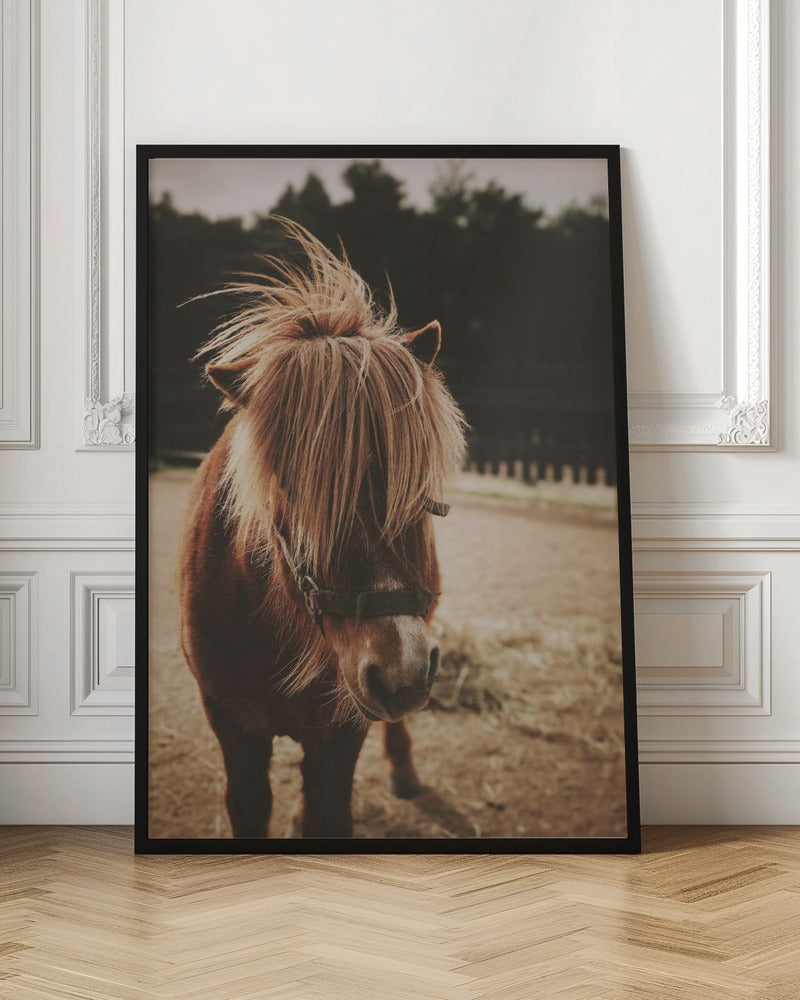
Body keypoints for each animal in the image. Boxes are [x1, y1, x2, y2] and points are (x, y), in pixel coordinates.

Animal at [178, 221, 466, 838]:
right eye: (292, 488)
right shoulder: (234, 730)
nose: (399, 673)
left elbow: (328, 813)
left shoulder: (342, 733)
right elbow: (251, 807)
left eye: (416, 482)